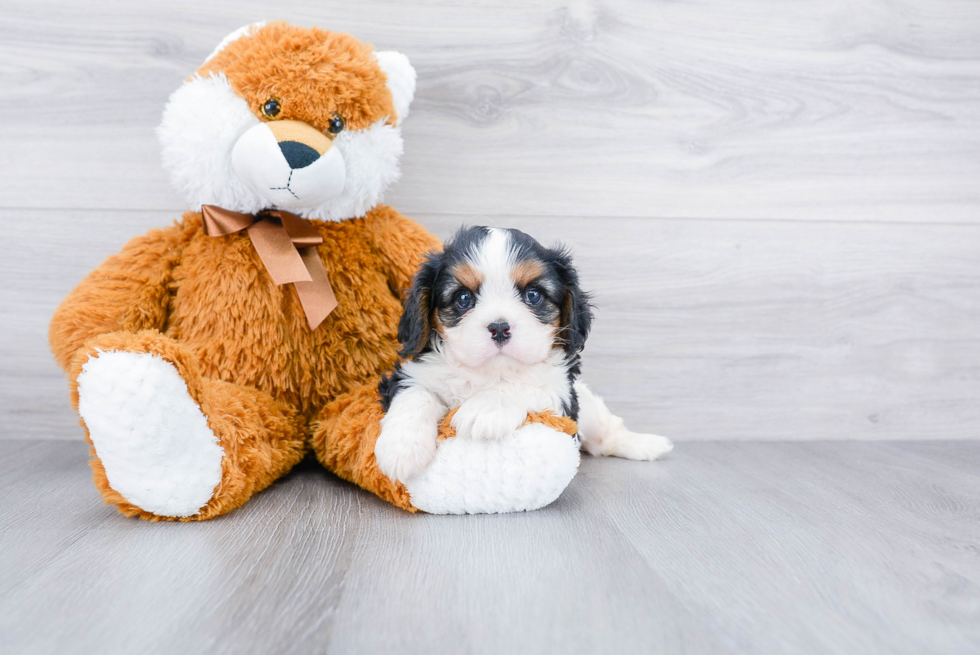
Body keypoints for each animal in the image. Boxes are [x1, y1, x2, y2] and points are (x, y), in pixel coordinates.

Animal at [372, 228, 668, 484]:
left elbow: (527, 386)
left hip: (590, 408)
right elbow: (416, 393)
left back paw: (647, 445)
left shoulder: (563, 392)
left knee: (607, 435)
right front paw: (401, 447)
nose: (499, 327)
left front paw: (485, 409)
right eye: (463, 298)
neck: (491, 372)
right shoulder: (409, 374)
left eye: (533, 295)